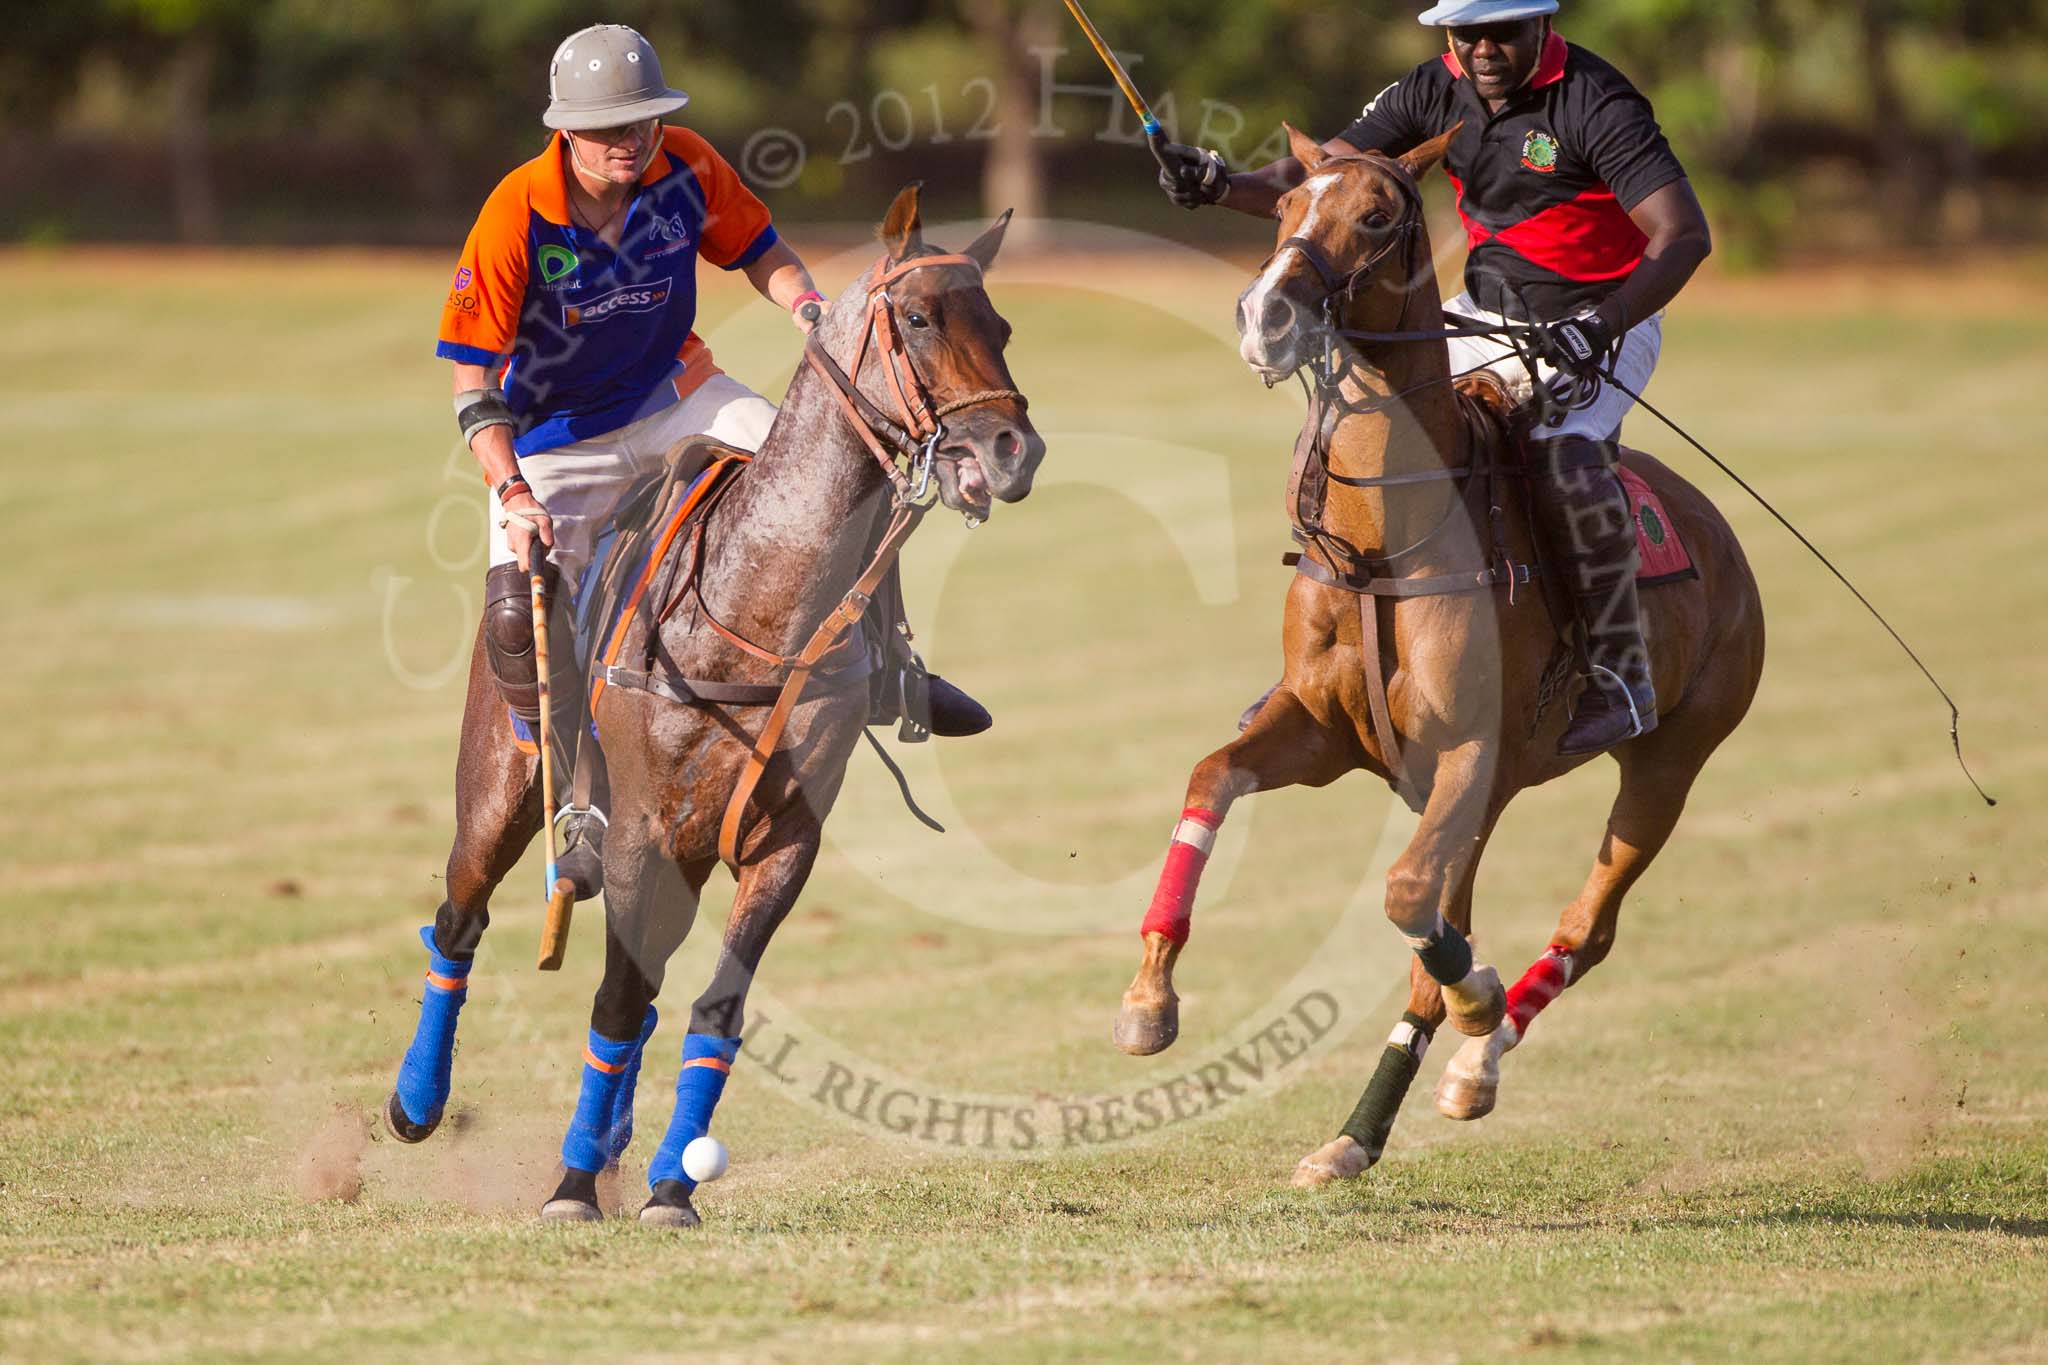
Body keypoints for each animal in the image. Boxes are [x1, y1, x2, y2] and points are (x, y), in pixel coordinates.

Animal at [387, 189, 1040, 1227]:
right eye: (919, 319)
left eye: (1003, 327)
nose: (1015, 452)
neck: (759, 609)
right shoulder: (639, 831)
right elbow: (613, 1004)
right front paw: (572, 1186)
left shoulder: (787, 837)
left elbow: (710, 1008)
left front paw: (667, 1184)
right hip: (503, 788)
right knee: (459, 920)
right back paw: (417, 1104)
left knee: (647, 979)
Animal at [1114, 130, 1769, 1195]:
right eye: (1287, 204)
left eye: (1379, 217)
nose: (1266, 316)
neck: (1390, 537)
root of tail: (1720, 530)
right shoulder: (1318, 729)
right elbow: (1211, 776)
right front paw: (1147, 1001)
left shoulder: (1473, 754)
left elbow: (1410, 908)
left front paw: (1479, 1001)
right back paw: (1387, 1113)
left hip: (1670, 755)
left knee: (1579, 924)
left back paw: (1462, 1064)